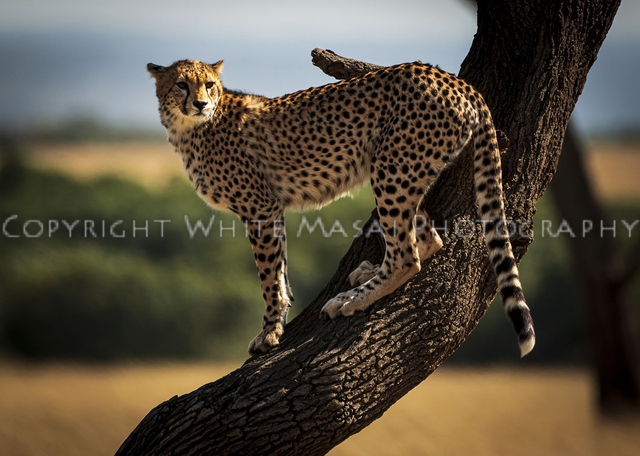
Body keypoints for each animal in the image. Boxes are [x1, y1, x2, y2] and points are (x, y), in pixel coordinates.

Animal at [147, 58, 536, 357]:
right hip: (401, 167)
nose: (200, 103)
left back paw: (351, 300)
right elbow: (281, 269)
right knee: (427, 237)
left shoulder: (259, 207)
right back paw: (367, 273)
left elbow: (269, 276)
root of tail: (452, 78)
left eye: (209, 85)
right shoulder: (271, 208)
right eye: (181, 84)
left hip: (390, 168)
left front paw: (269, 332)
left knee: (406, 255)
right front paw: (281, 316)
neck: (191, 129)